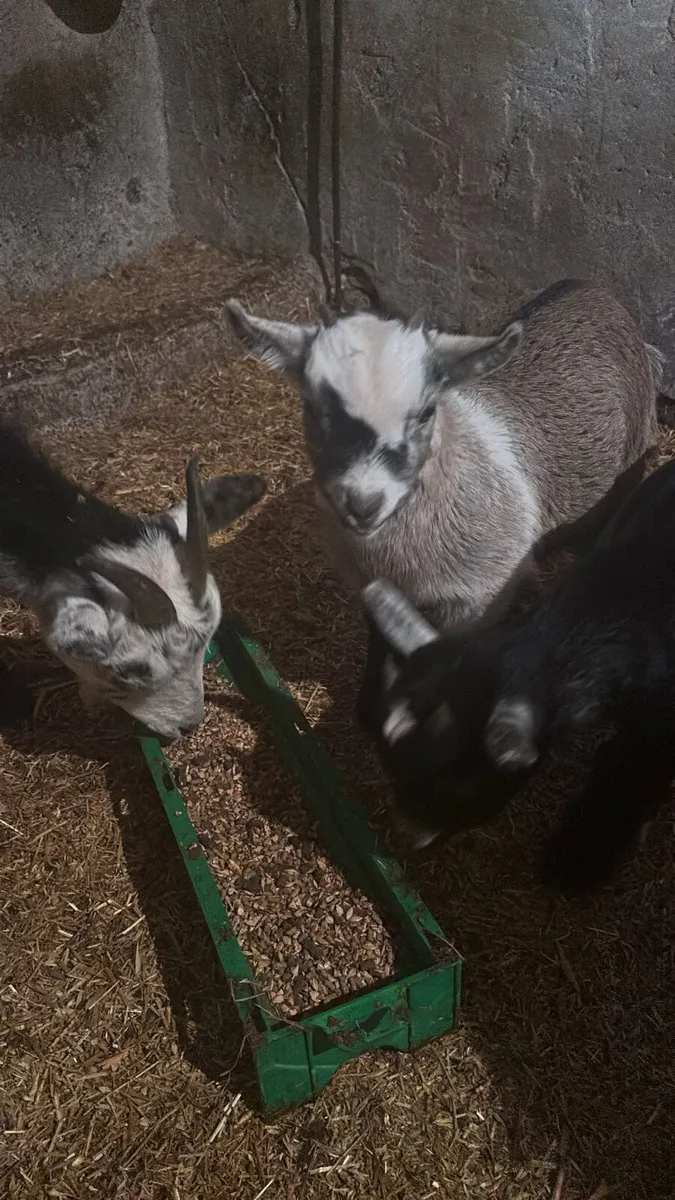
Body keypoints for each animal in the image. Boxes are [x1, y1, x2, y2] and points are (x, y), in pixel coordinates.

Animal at [226, 280, 662, 736]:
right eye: (313, 408)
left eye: (424, 413)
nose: (363, 504)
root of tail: (589, 289)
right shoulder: (370, 584)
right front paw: (369, 709)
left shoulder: (480, 597)